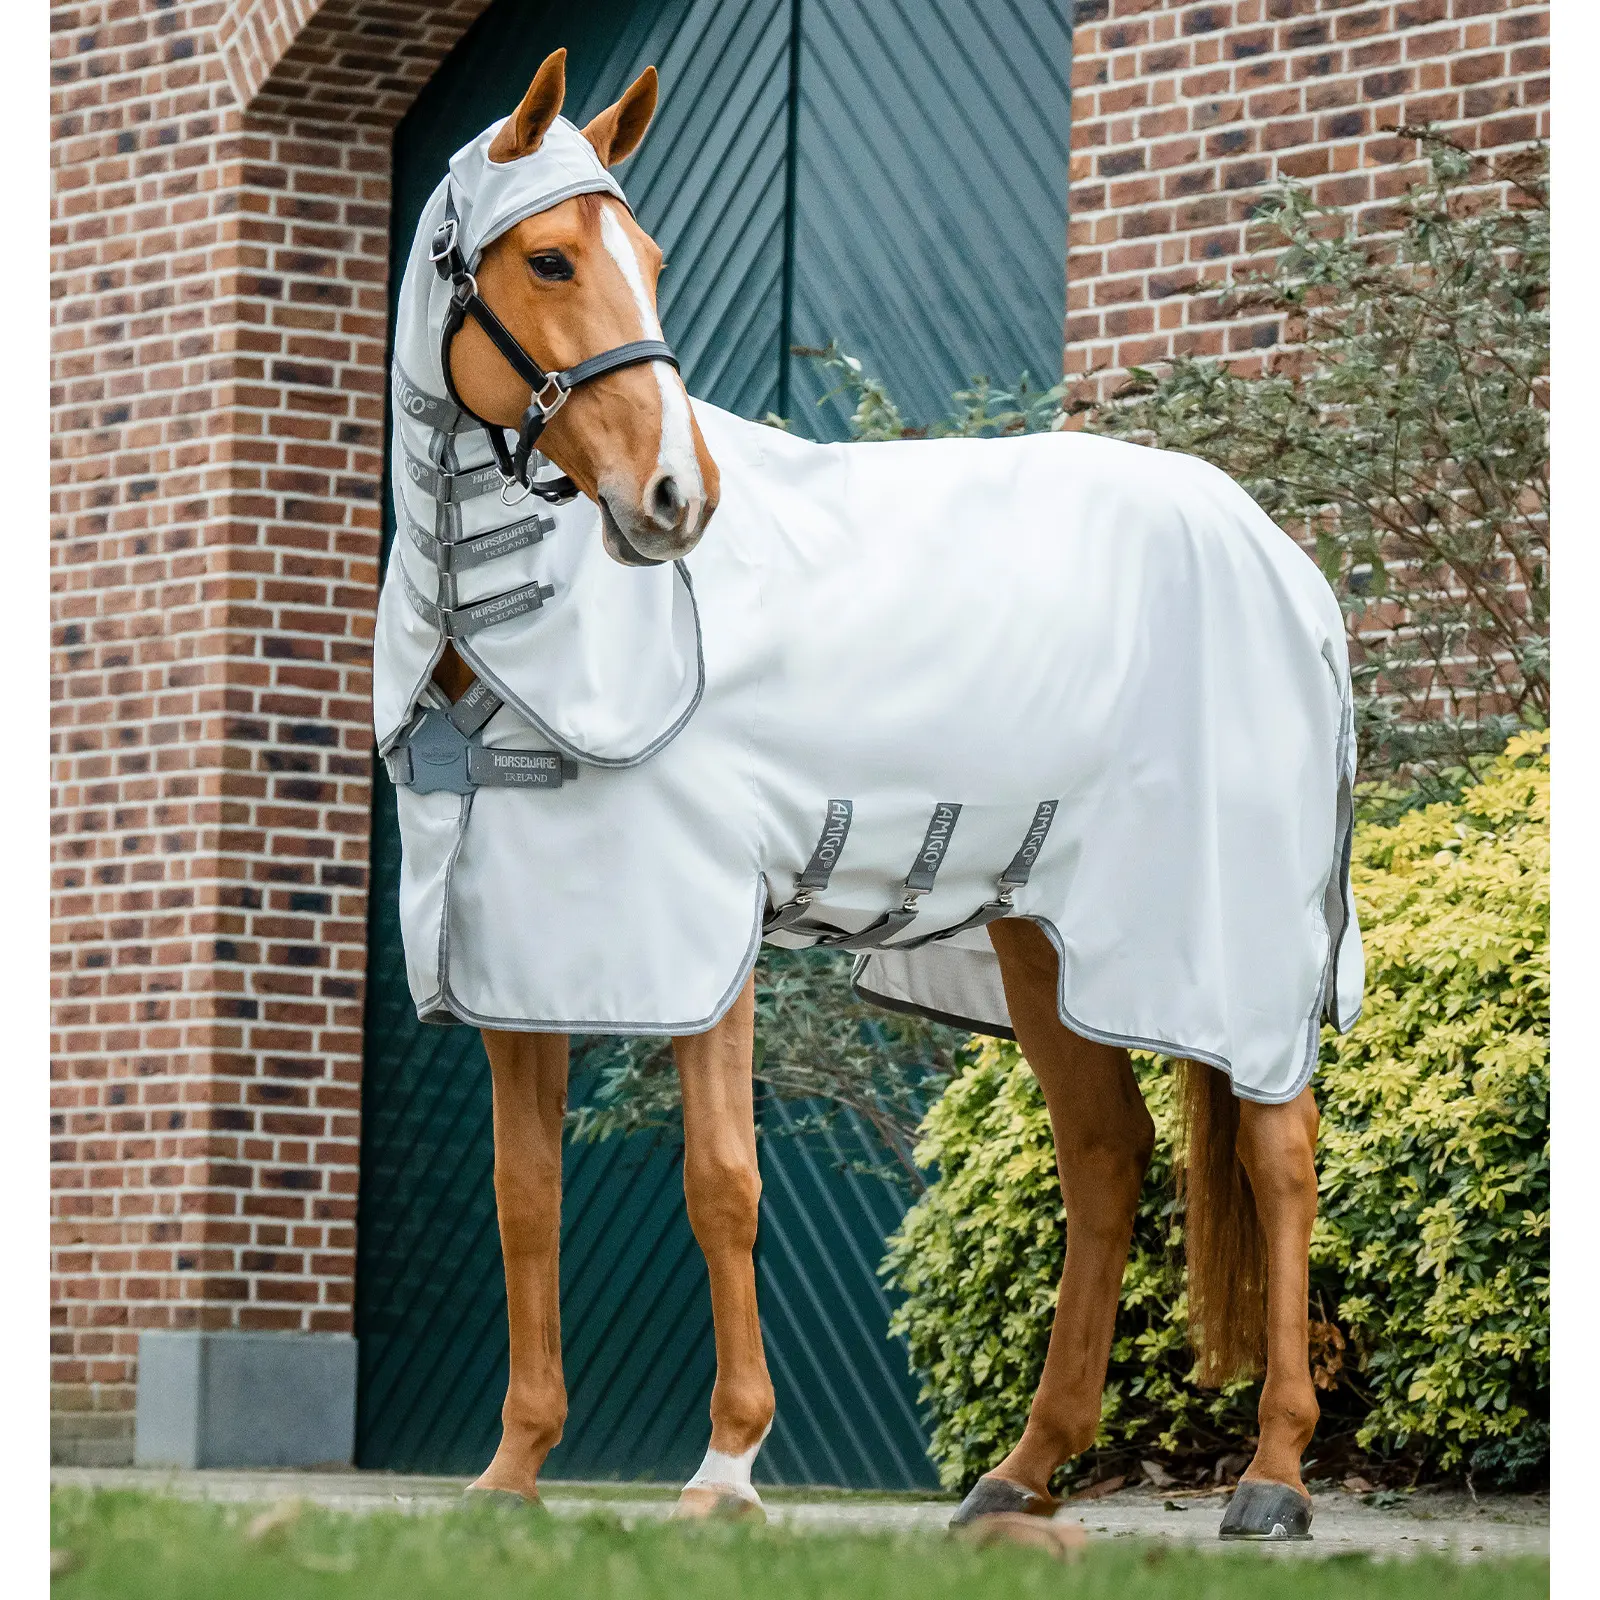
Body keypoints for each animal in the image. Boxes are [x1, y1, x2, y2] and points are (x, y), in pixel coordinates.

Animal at [376, 49, 1362, 1543]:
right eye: (547, 258)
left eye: (647, 260)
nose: (676, 498)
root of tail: (1284, 566)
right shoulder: (521, 956)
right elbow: (524, 1198)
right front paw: (510, 1475)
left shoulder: (699, 934)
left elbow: (722, 1182)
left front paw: (725, 1468)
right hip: (1036, 935)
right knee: (1106, 1152)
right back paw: (1021, 1471)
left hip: (1230, 945)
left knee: (1280, 1152)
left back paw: (1275, 1476)